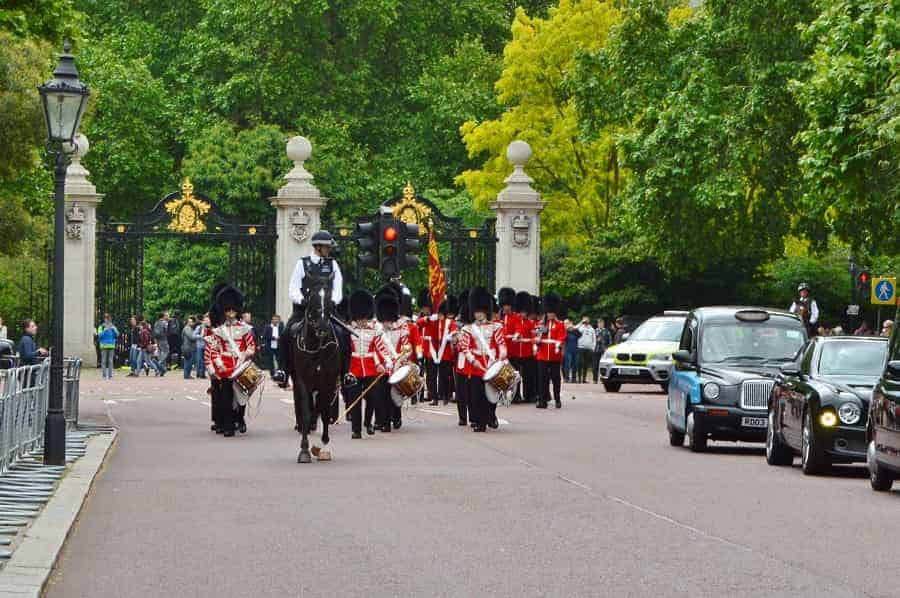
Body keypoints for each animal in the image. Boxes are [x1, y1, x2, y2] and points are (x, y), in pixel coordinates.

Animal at [292, 290, 342, 464]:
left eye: (329, 300)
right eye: (311, 298)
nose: (322, 328)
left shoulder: (328, 382)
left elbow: (325, 412)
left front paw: (323, 448)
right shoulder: (302, 381)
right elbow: (306, 413)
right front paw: (304, 451)